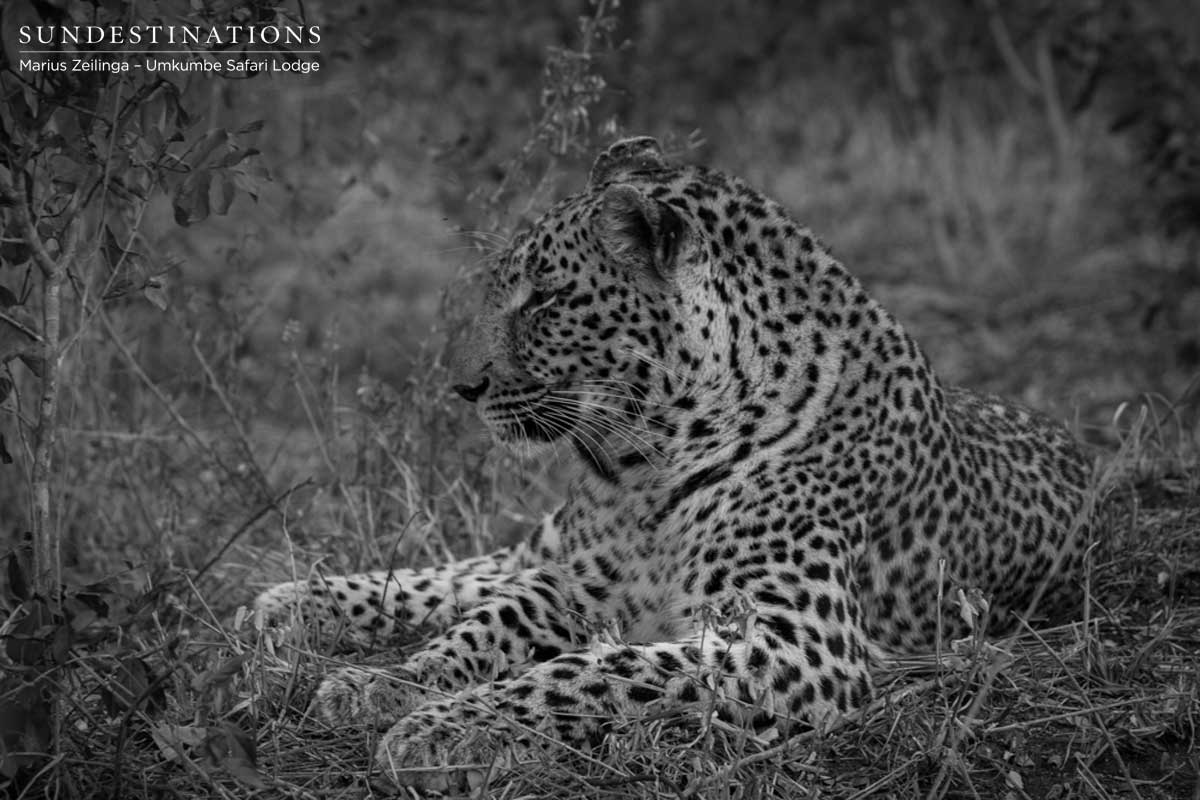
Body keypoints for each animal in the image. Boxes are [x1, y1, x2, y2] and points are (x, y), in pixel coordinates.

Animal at [255, 137, 1092, 791]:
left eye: (545, 299)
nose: (461, 386)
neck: (644, 462)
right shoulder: (579, 583)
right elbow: (487, 623)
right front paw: (387, 686)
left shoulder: (791, 642)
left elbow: (596, 672)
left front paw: (437, 727)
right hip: (546, 546)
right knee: (465, 576)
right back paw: (286, 605)